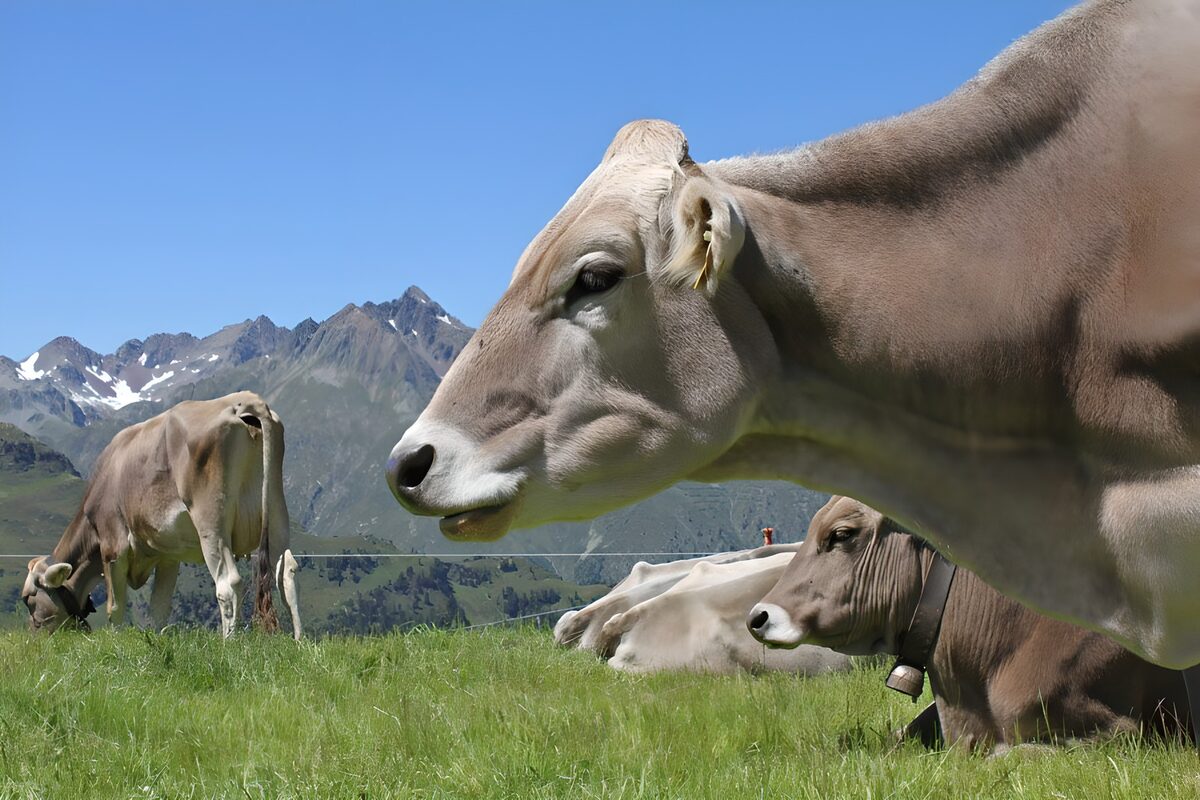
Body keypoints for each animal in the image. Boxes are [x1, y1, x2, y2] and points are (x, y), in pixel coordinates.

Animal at [21, 391, 302, 639]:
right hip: (276, 511)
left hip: (211, 524)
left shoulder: (113, 547)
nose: (33, 637)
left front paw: (116, 642)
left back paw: (230, 644)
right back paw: (298, 642)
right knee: (285, 574)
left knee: (228, 583)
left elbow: (114, 607)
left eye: (29, 599)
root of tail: (245, 403)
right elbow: (159, 608)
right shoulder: (169, 556)